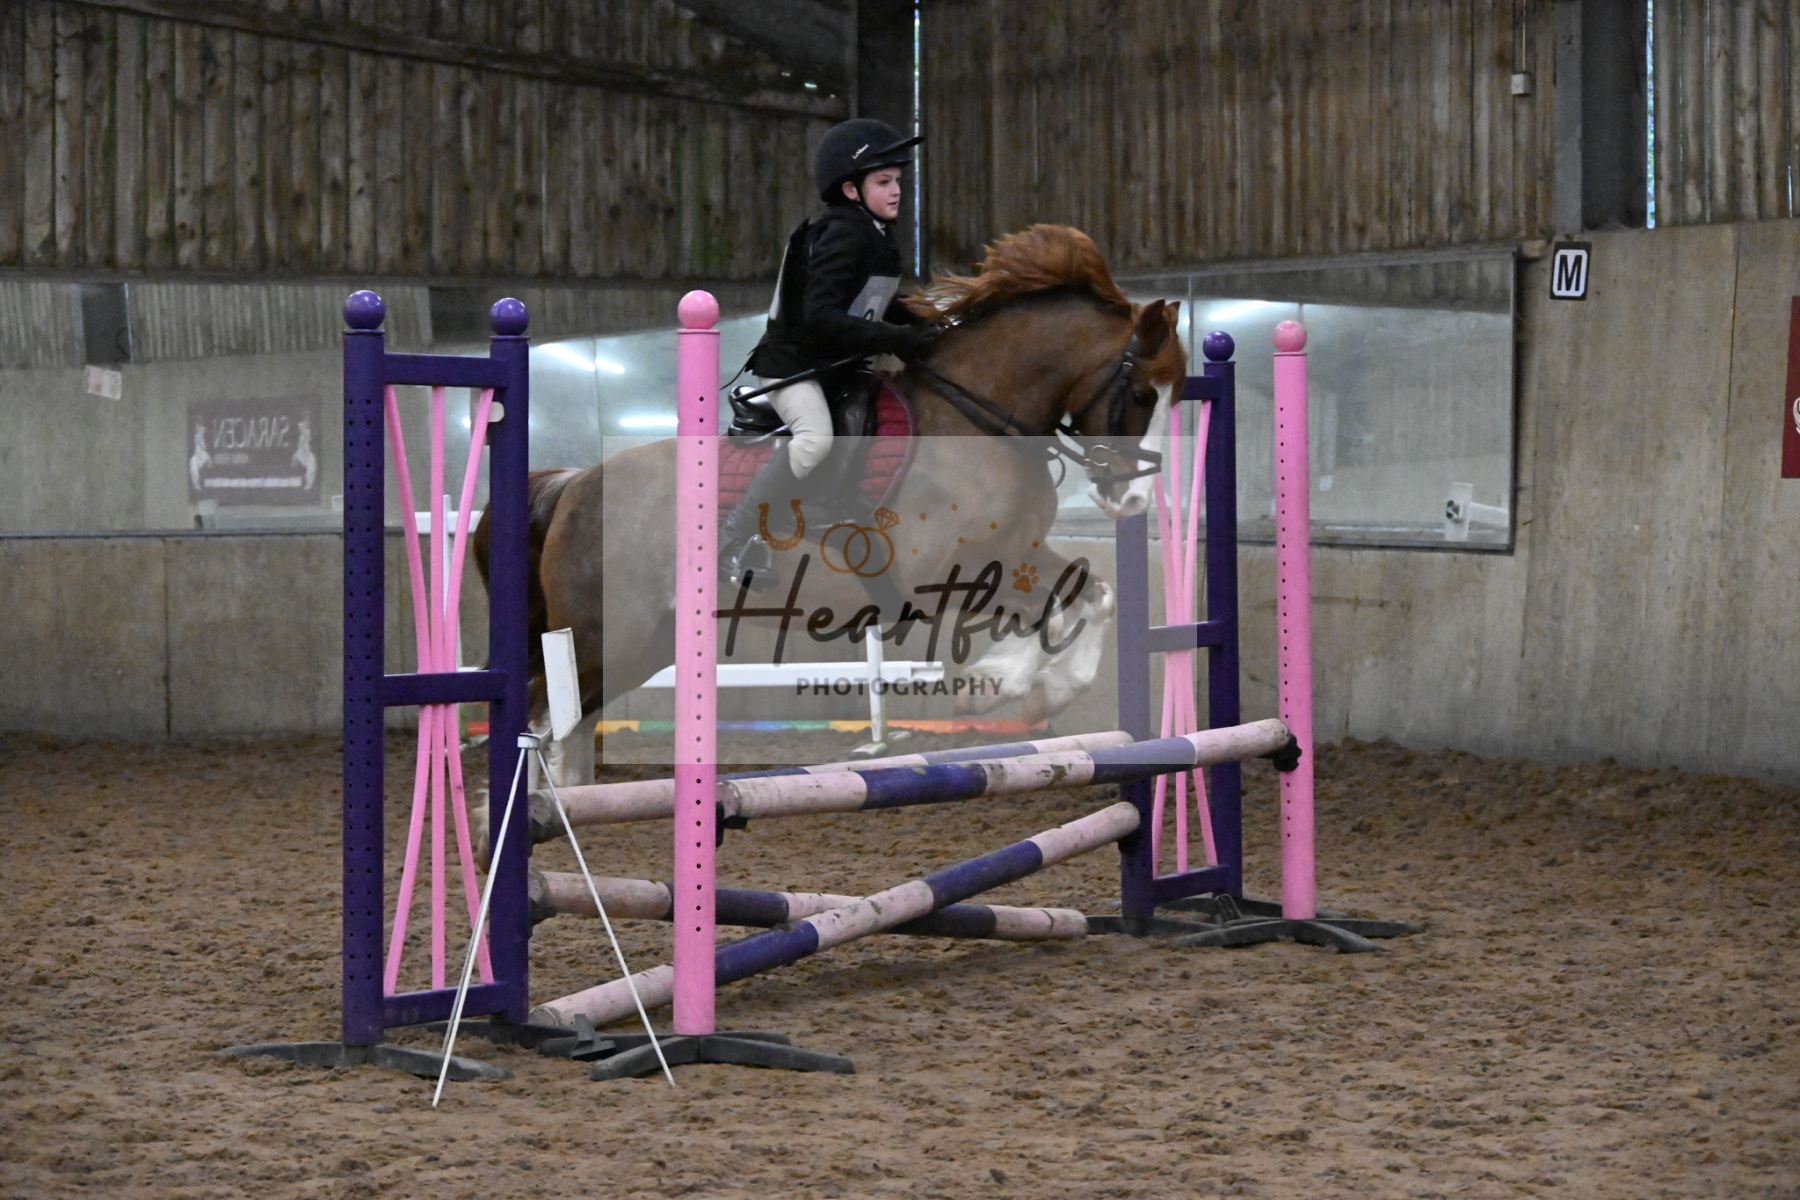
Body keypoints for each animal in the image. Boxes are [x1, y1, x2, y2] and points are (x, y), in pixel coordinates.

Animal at [475, 225, 1187, 781]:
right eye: (1142, 395)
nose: (1131, 497)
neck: (980, 419)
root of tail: (574, 483)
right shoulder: (941, 577)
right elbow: (1047, 609)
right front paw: (1006, 685)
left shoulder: (1020, 550)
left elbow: (1094, 595)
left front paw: (1031, 687)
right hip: (607, 637)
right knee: (546, 718)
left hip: (642, 644)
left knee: (563, 727)